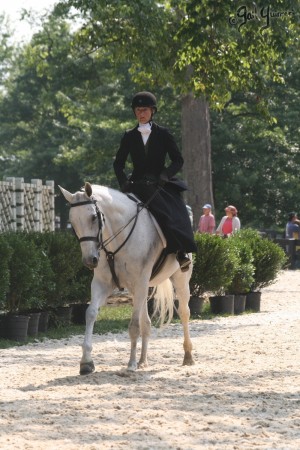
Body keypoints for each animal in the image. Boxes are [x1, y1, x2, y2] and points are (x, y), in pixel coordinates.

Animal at [59, 181, 195, 374]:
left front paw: (130, 364)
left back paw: (188, 356)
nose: (89, 260)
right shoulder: (102, 283)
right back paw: (143, 361)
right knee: (146, 322)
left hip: (179, 280)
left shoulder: (139, 282)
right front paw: (86, 362)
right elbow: (90, 313)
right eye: (72, 222)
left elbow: (134, 325)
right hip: (139, 289)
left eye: (93, 217)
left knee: (184, 313)